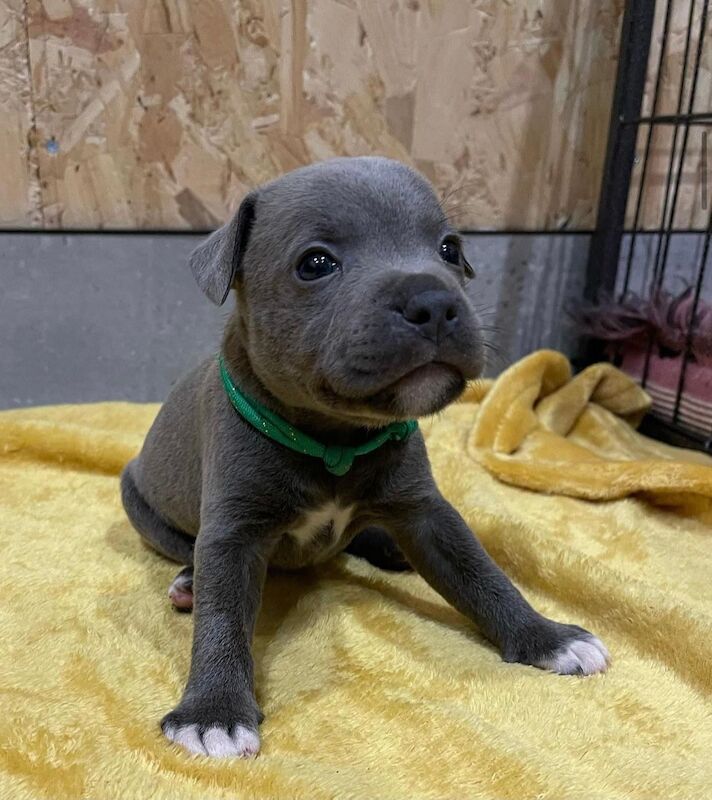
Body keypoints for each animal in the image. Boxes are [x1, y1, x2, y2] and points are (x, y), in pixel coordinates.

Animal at [119, 155, 608, 756]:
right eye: (316, 263)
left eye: (449, 249)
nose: (435, 302)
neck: (338, 441)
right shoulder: (232, 531)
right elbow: (222, 616)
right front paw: (213, 712)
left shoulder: (425, 512)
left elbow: (481, 574)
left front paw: (546, 637)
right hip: (141, 504)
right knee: (186, 554)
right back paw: (189, 581)